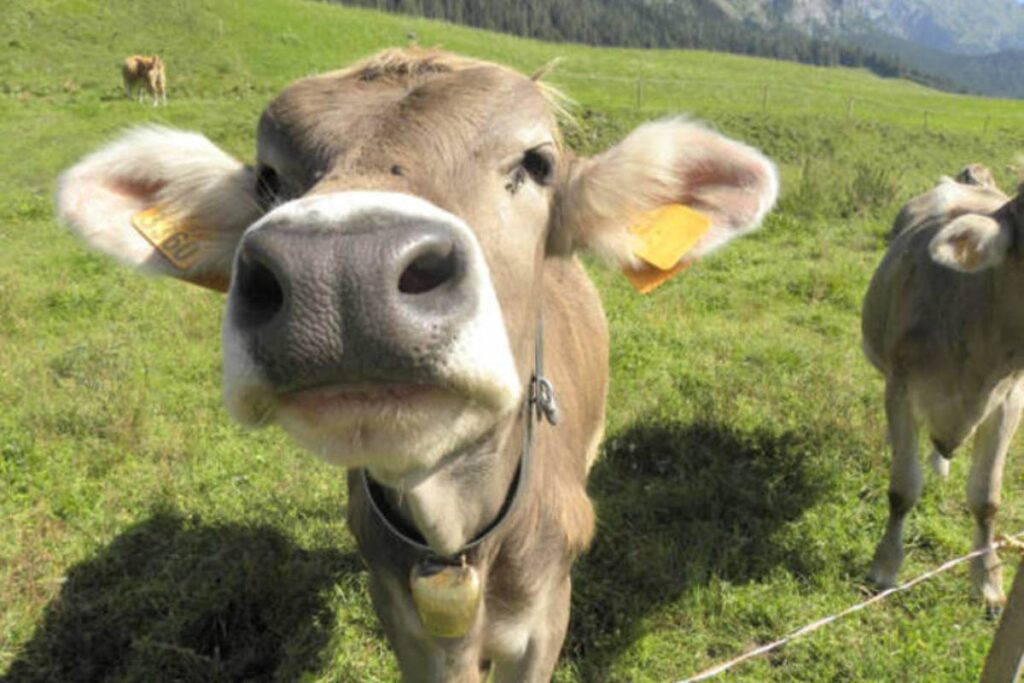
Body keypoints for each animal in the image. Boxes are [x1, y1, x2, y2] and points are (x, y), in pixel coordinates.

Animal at [57, 48, 778, 681]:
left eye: (538, 162)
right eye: (267, 176)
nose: (340, 270)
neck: (454, 532)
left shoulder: (548, 618)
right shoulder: (404, 622)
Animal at [863, 170, 1022, 617]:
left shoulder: (1010, 401)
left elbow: (986, 498)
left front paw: (988, 580)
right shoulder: (901, 389)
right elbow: (902, 488)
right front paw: (884, 568)